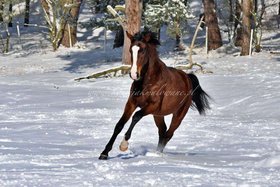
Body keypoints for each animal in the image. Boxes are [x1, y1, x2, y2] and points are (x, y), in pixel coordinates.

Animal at [98, 30, 210, 159]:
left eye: (142, 50)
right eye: (131, 50)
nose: (134, 74)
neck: (148, 81)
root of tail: (187, 77)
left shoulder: (152, 106)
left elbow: (136, 116)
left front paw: (123, 145)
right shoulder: (131, 103)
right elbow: (119, 125)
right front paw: (104, 153)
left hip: (178, 115)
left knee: (168, 133)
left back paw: (158, 154)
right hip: (158, 115)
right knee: (162, 131)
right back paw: (157, 153)